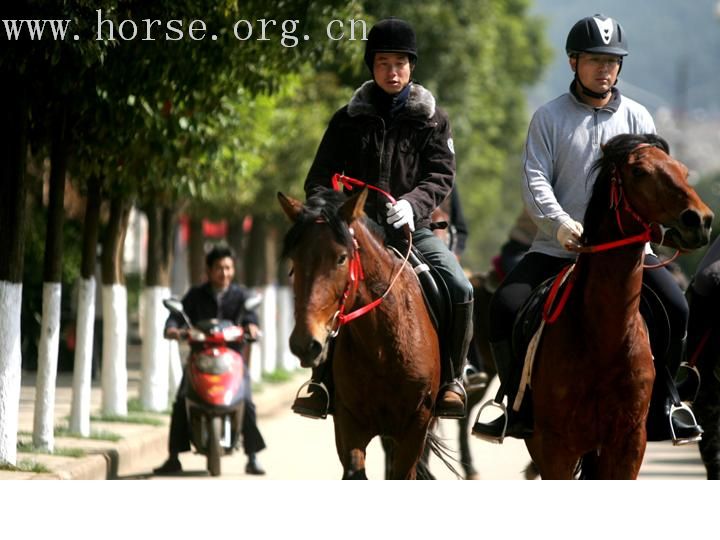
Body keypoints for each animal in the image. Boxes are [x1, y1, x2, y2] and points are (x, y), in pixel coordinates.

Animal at [278, 188, 448, 478]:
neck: (381, 347)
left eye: (341, 257)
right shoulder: (349, 425)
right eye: (295, 259)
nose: (304, 344)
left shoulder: (415, 427)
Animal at [524, 133, 712, 478]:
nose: (700, 220)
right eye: (638, 171)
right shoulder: (555, 448)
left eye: (683, 170)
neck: (604, 339)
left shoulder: (628, 443)